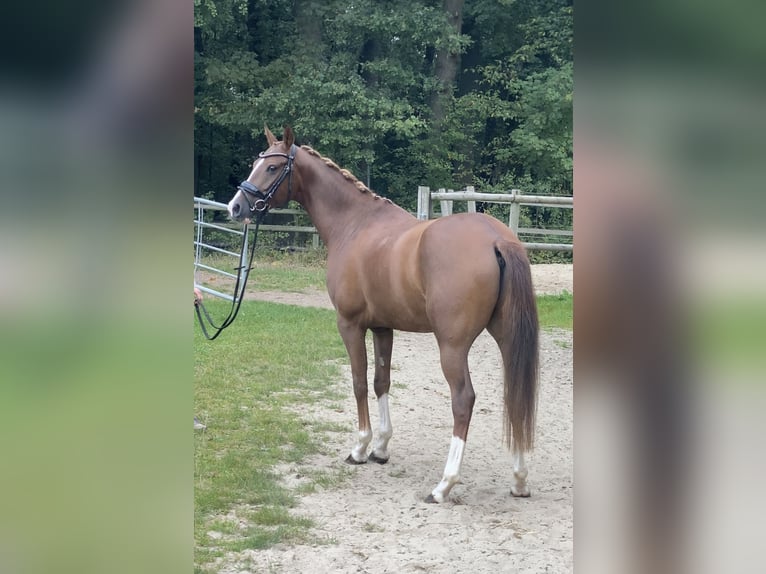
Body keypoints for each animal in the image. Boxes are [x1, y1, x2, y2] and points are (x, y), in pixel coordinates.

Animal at [228, 127, 540, 504]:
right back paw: (520, 479)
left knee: (463, 400)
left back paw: (444, 485)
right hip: (507, 336)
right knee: (515, 397)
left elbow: (359, 381)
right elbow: (381, 382)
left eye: (273, 168)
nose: (236, 206)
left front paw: (361, 448)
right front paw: (381, 447)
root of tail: (497, 239)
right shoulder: (382, 327)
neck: (355, 225)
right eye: (256, 162)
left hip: (452, 346)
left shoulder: (349, 324)